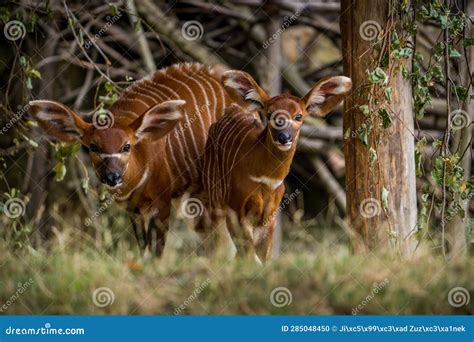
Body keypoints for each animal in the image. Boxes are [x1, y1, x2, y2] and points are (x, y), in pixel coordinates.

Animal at [27, 62, 231, 255]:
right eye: (93, 147)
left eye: (126, 146)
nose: (112, 177)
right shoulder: (134, 209)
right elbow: (142, 246)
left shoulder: (162, 200)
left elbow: (156, 249)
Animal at [198, 69, 350, 262]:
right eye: (270, 115)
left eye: (299, 116)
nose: (284, 137)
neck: (267, 179)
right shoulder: (237, 211)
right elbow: (250, 256)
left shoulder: (269, 217)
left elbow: (263, 257)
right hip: (216, 202)